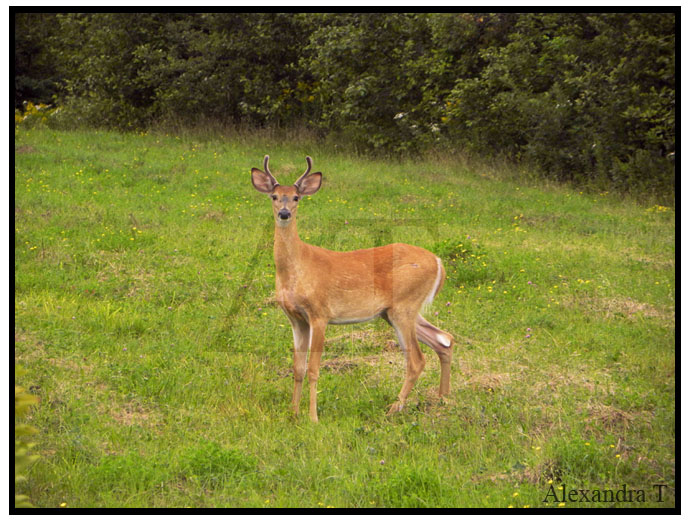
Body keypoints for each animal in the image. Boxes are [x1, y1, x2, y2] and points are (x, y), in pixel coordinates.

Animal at [253, 155, 454, 422]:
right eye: (274, 196)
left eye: (296, 197)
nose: (284, 213)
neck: (297, 268)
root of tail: (438, 262)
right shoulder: (296, 318)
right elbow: (298, 368)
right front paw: (293, 413)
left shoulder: (320, 313)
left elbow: (314, 369)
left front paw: (313, 418)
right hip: (393, 311)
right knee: (444, 340)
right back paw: (442, 400)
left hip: (405, 305)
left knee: (417, 359)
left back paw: (394, 408)